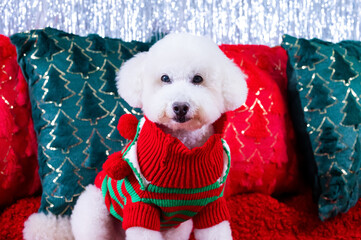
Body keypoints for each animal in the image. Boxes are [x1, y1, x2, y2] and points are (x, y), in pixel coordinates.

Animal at [70, 32, 248, 240]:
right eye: (165, 78)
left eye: (198, 79)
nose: (180, 106)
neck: (185, 152)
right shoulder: (141, 207)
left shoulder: (211, 207)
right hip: (94, 210)